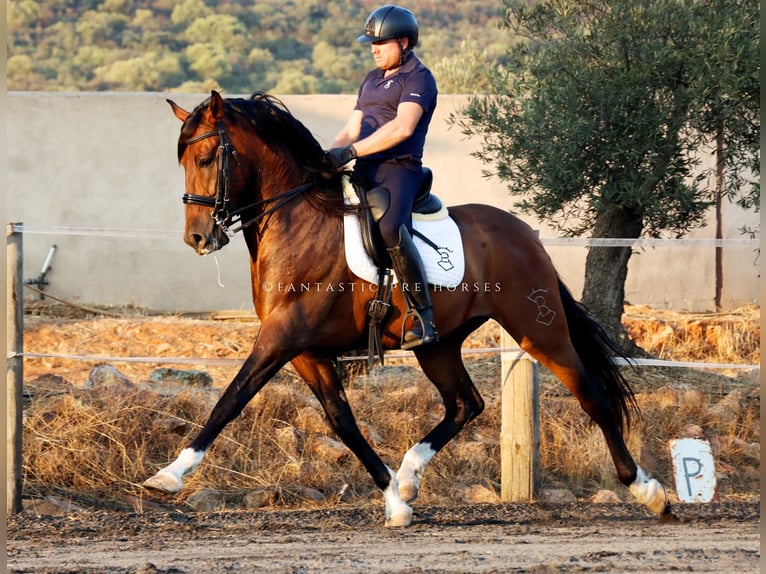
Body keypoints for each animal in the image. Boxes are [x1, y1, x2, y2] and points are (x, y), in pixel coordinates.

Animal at [144, 90, 669, 526]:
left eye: (207, 158)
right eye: (183, 161)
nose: (198, 238)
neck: (299, 222)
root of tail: (524, 232)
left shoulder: (281, 337)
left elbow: (231, 399)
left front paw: (169, 475)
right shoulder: (306, 351)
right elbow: (343, 423)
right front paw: (395, 503)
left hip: (538, 329)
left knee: (591, 396)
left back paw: (649, 492)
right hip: (438, 345)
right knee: (466, 403)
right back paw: (411, 474)